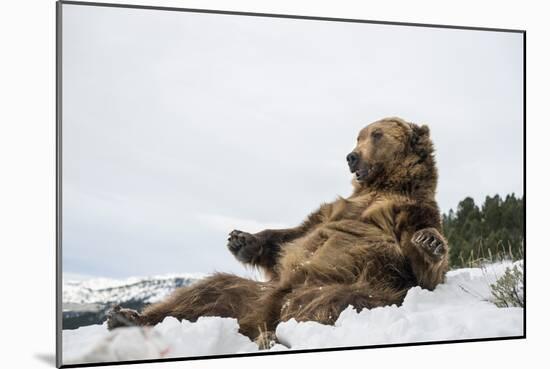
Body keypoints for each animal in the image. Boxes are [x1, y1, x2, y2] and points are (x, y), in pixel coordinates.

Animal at [106, 116, 448, 346]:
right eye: (358, 136)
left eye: (376, 134)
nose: (352, 157)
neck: (386, 185)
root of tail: (260, 314)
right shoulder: (335, 209)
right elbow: (294, 235)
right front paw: (241, 239)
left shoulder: (410, 212)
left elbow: (420, 267)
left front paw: (429, 242)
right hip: (249, 294)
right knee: (205, 291)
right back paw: (127, 317)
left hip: (344, 285)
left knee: (331, 302)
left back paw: (272, 337)